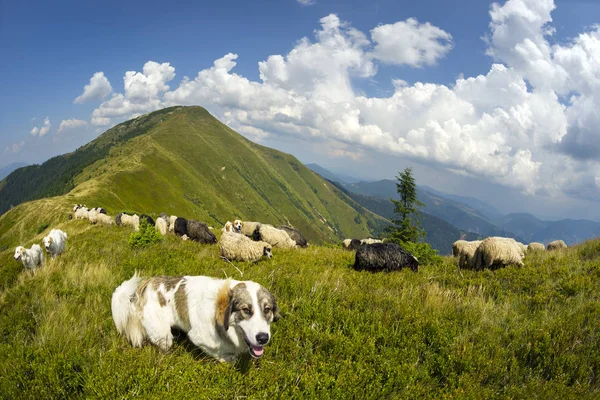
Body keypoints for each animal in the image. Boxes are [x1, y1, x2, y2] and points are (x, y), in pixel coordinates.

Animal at [111, 276, 280, 362]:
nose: (263, 338)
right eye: (246, 310)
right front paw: (227, 359)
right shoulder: (199, 337)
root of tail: (146, 284)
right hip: (163, 335)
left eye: (267, 309)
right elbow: (219, 352)